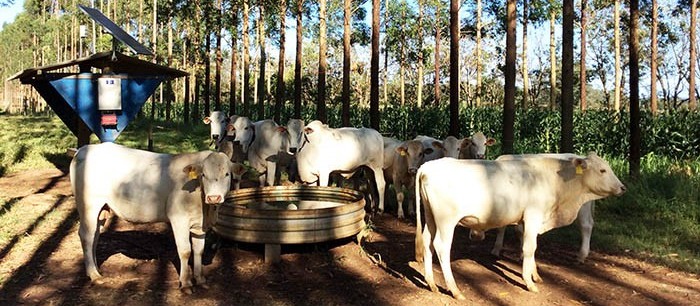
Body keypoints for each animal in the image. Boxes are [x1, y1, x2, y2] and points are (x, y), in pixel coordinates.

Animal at [68, 142, 243, 292]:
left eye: (227, 174)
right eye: (204, 175)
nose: (213, 197)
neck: (205, 209)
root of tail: (83, 149)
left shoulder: (199, 224)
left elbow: (199, 250)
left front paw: (200, 280)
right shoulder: (178, 218)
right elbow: (185, 251)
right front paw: (186, 283)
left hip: (103, 208)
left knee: (95, 235)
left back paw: (95, 269)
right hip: (88, 204)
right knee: (86, 235)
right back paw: (94, 275)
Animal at [412, 153, 628, 298]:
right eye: (602, 170)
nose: (623, 187)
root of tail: (428, 167)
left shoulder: (527, 221)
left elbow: (530, 247)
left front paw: (534, 274)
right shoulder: (533, 215)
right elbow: (529, 248)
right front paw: (529, 282)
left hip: (431, 218)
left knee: (428, 243)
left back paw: (431, 283)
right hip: (446, 220)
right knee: (441, 247)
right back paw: (455, 290)